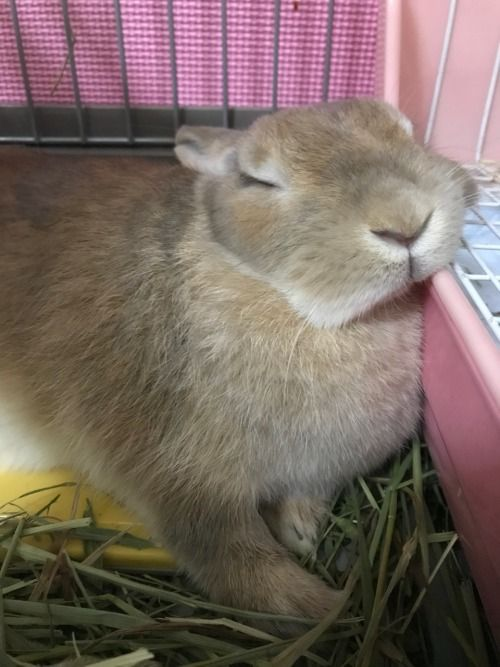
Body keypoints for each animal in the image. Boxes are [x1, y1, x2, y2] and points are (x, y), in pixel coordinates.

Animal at [0, 100, 473, 632]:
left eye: (406, 133)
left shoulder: (315, 470)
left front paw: (302, 533)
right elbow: (235, 560)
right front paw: (323, 610)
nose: (405, 221)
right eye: (256, 181)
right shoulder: (180, 480)